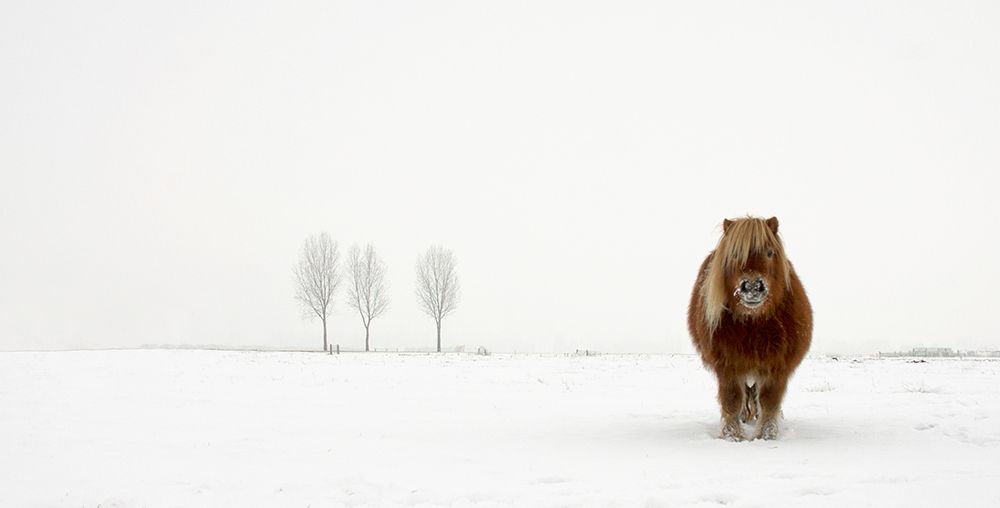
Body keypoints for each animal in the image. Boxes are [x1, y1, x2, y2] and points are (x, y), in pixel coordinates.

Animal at [687, 216, 812, 440]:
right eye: (735, 254)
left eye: (770, 252)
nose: (752, 287)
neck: (754, 323)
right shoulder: (727, 366)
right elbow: (732, 400)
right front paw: (732, 435)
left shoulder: (776, 367)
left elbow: (769, 401)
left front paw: (766, 435)